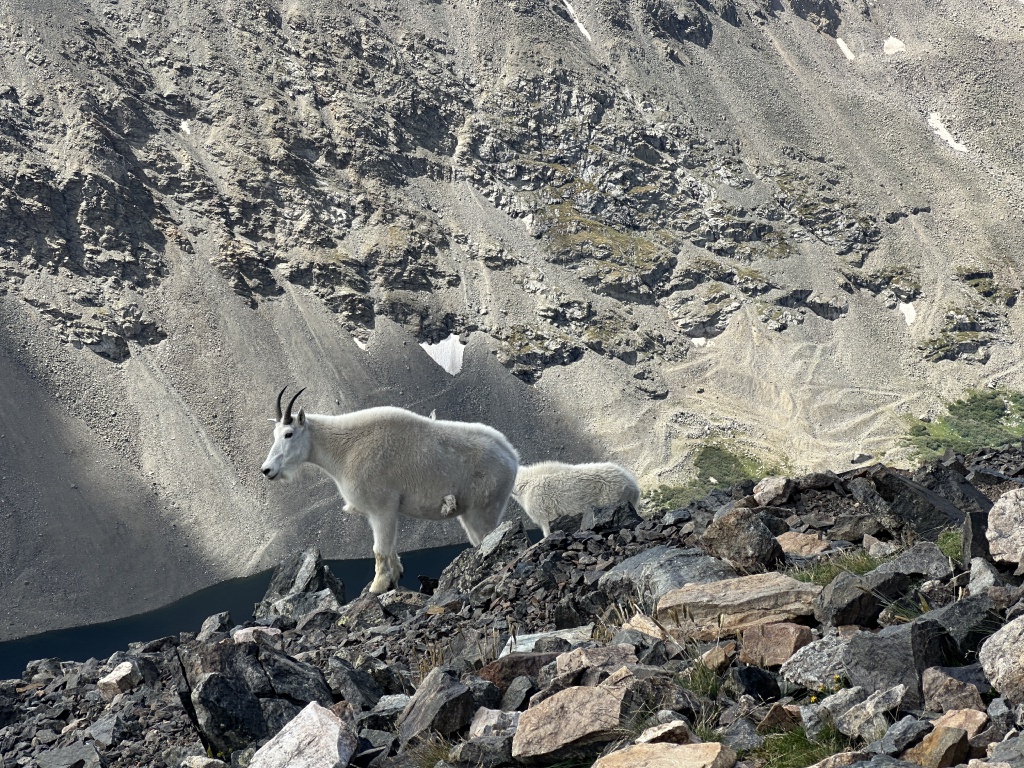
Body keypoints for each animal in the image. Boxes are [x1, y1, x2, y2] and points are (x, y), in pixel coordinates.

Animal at [260, 387, 519, 593]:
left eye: (289, 434)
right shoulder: (385, 512)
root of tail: (512, 456)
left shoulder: (381, 508)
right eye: (274, 434)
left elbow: (379, 549)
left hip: (484, 508)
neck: (344, 450)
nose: (267, 469)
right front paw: (395, 577)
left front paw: (377, 587)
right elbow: (391, 548)